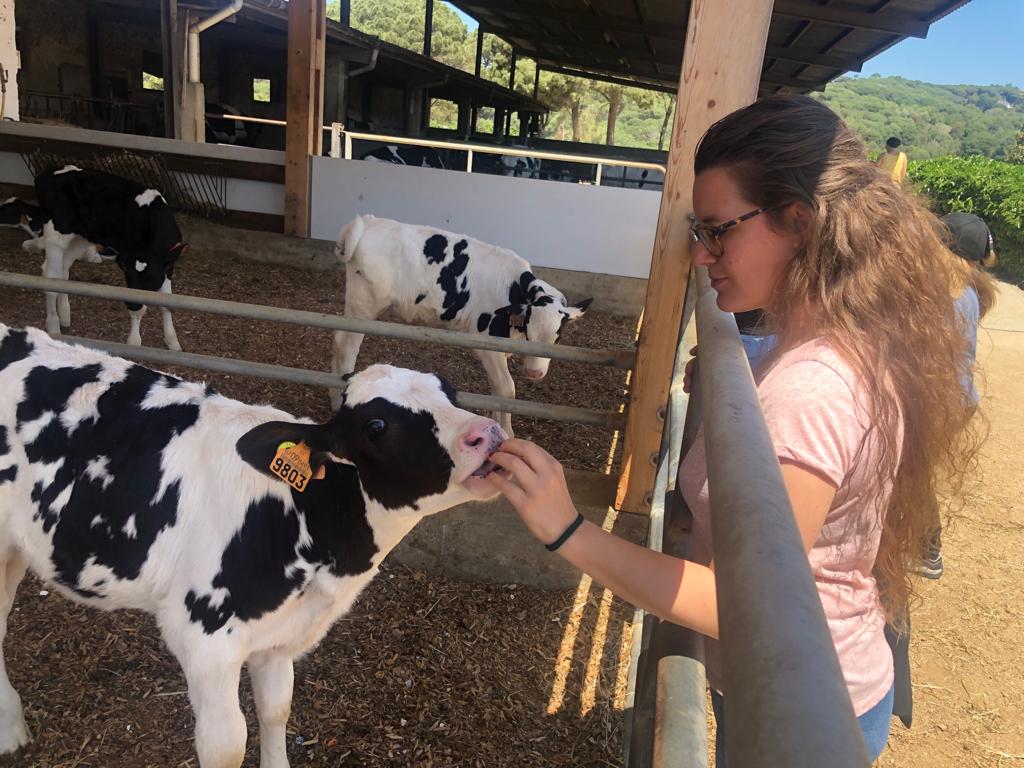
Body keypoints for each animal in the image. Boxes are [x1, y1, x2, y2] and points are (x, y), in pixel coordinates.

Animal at [0, 323, 506, 768]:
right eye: (376, 425)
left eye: (451, 392)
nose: (487, 434)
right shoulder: (203, 640)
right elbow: (225, 745)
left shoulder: (280, 639)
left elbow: (275, 710)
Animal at [21, 166, 187, 351]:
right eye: (126, 271)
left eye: (151, 277)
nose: (132, 304)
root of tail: (49, 173)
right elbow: (139, 311)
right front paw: (134, 342)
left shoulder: (168, 267)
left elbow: (167, 303)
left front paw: (172, 341)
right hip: (55, 236)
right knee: (51, 279)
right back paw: (54, 325)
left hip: (80, 238)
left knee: (63, 273)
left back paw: (64, 315)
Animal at [329, 215, 591, 435]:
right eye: (530, 331)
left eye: (558, 337)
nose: (534, 373)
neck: (513, 290)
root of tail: (366, 221)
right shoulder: (487, 345)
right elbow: (507, 389)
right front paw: (508, 433)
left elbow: (498, 390)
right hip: (364, 307)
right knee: (347, 346)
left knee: (338, 339)